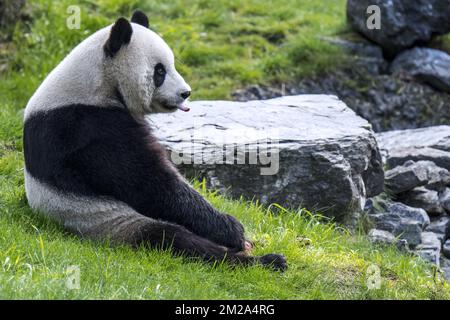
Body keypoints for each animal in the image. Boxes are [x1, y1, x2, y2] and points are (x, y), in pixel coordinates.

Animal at [22, 10, 286, 270]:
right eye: (160, 71)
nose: (185, 93)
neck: (96, 81)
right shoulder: (87, 126)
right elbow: (149, 184)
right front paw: (232, 229)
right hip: (109, 223)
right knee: (172, 238)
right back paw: (259, 261)